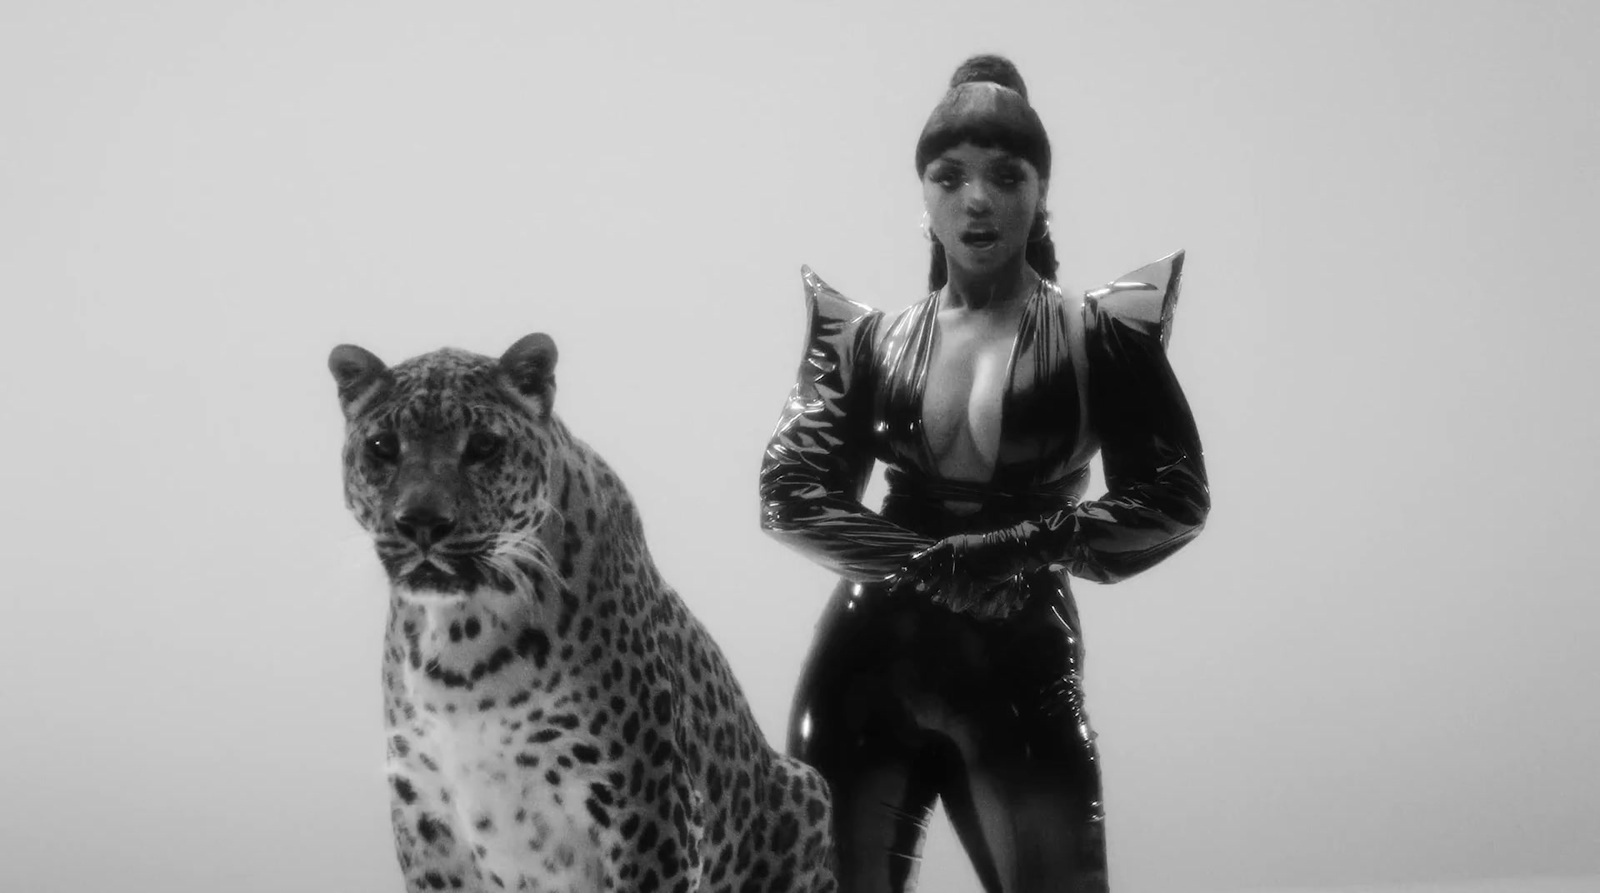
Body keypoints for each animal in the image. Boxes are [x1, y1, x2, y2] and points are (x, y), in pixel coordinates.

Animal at [332, 336, 844, 893]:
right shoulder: (425, 816)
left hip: (808, 789)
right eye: (382, 447)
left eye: (484, 446)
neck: (463, 639)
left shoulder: (648, 803)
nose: (423, 522)